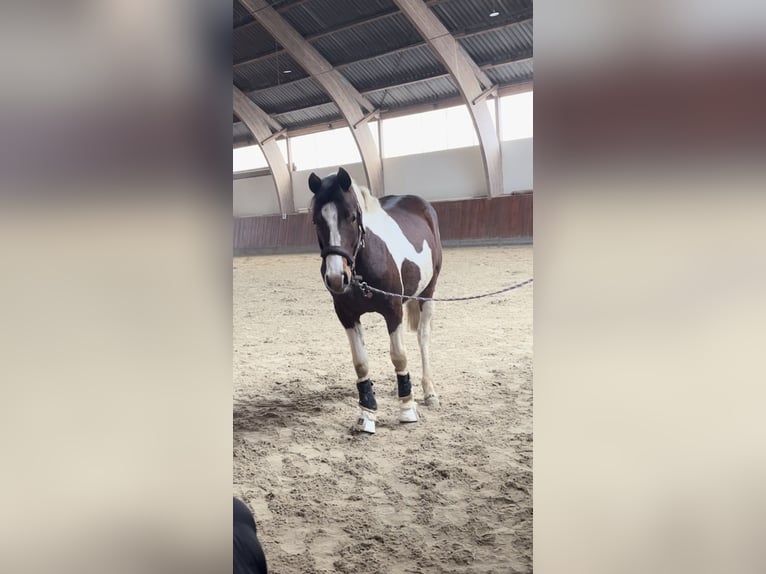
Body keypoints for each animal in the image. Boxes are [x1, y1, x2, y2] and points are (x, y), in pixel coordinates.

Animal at [308, 168, 444, 436]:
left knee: (423, 338)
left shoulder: (393, 311)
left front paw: (407, 408)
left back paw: (428, 392)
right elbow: (361, 363)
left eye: (351, 217)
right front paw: (367, 413)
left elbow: (399, 355)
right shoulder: (347, 315)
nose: (336, 278)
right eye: (317, 220)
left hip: (428, 292)